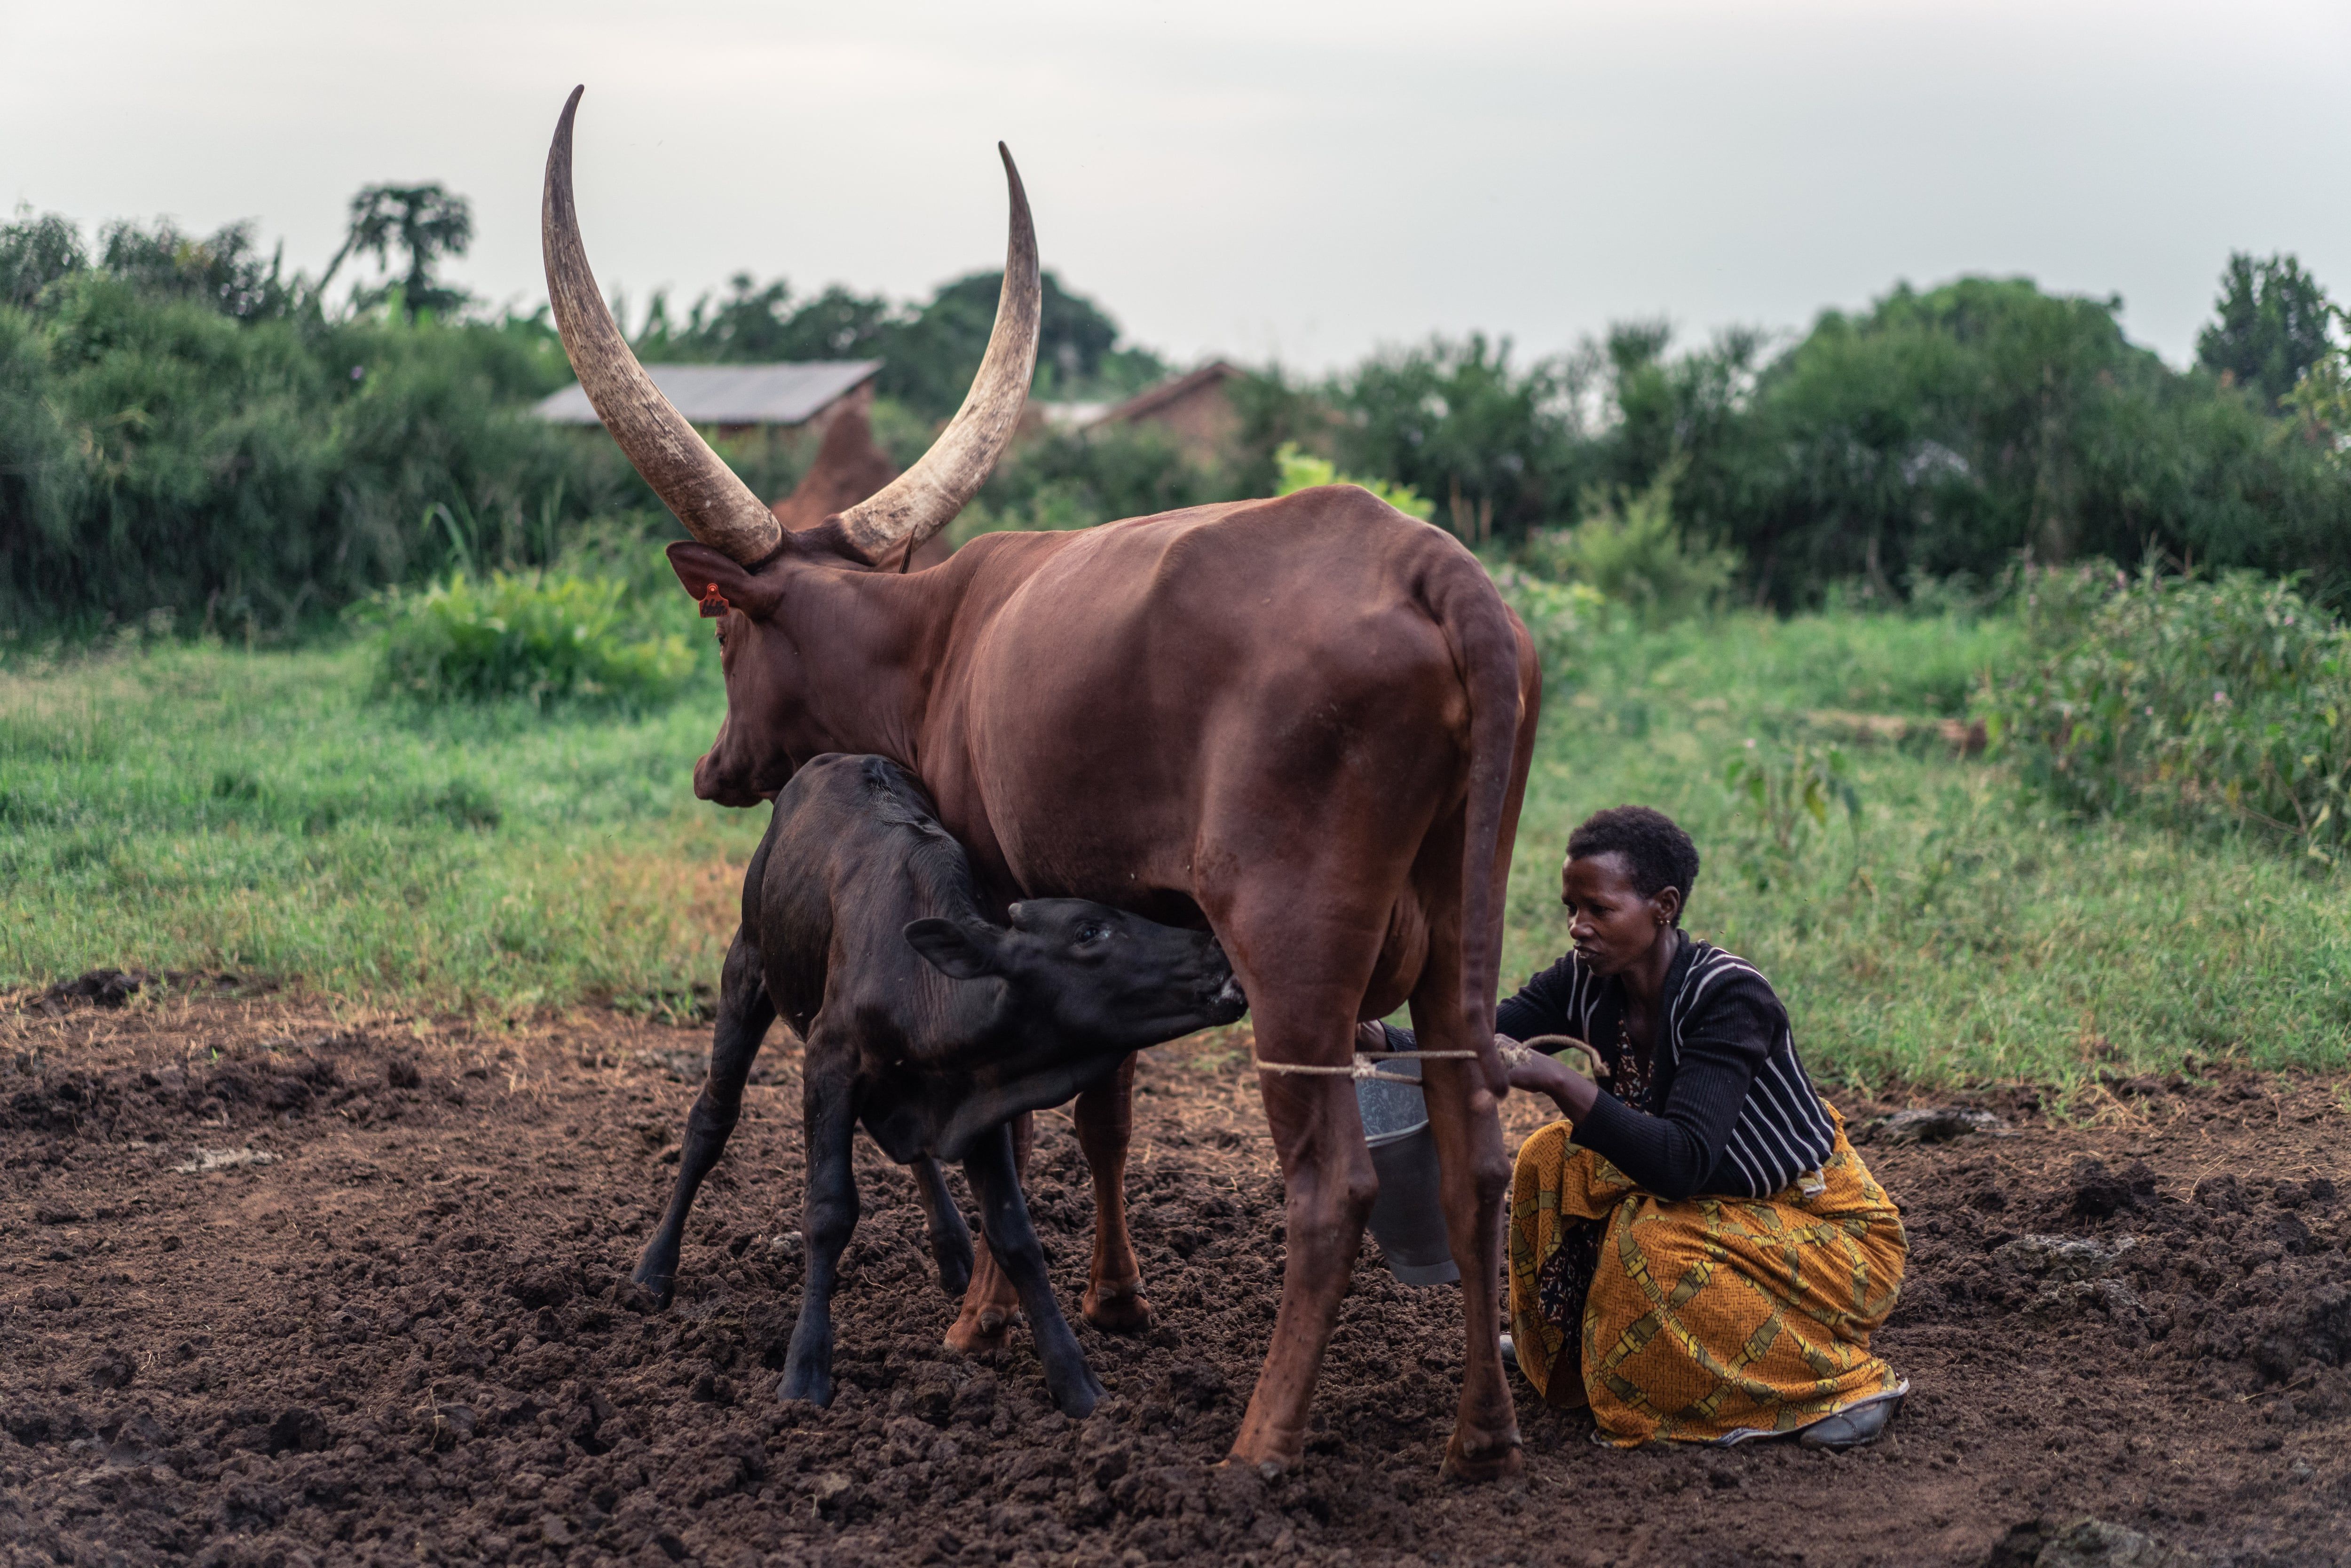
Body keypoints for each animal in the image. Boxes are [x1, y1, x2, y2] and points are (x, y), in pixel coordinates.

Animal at [631, 753, 1246, 1415]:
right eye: (1089, 932)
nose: (1218, 950)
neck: (921, 982)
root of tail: (841, 757)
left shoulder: (979, 1093)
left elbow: (1014, 1231)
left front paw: (1076, 1382)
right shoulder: (829, 1060)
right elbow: (828, 1208)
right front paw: (804, 1370)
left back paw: (952, 1248)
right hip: (747, 965)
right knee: (712, 1117)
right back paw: (654, 1269)